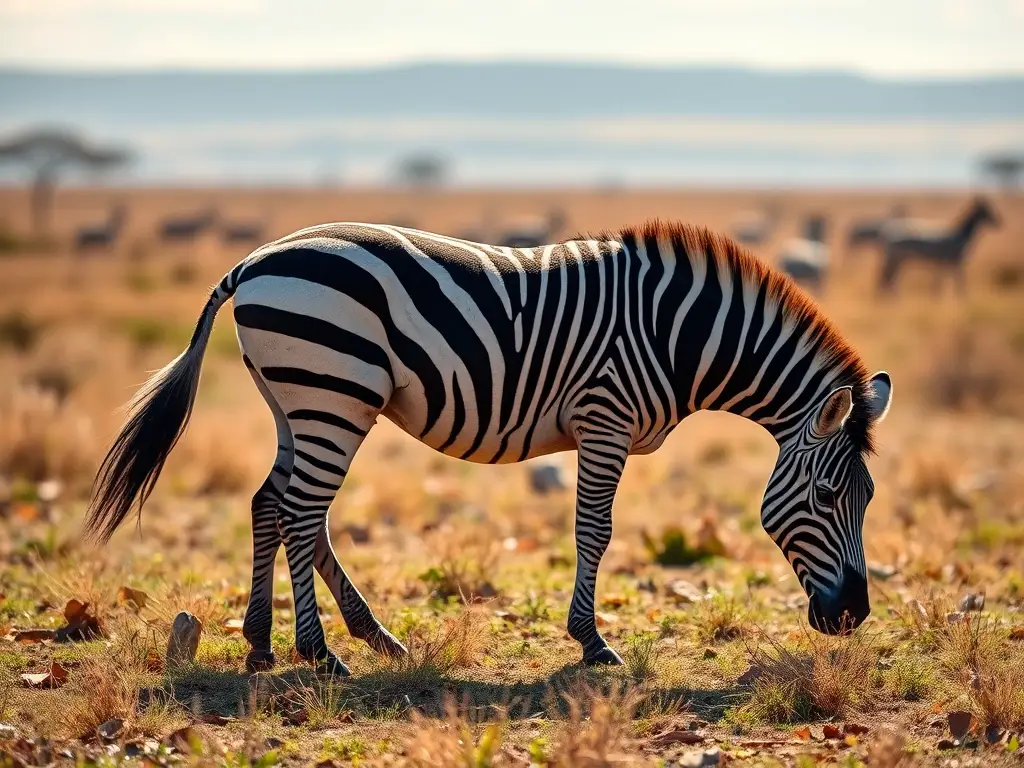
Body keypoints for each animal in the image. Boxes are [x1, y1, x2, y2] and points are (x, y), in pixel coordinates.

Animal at [85, 220, 893, 674]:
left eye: (869, 498)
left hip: (300, 399)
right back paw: (322, 652)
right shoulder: (604, 417)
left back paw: (281, 641)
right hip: (333, 391)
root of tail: (255, 259)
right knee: (300, 512)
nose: (853, 616)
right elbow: (594, 530)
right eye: (828, 496)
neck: (679, 335)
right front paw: (592, 642)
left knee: (272, 506)